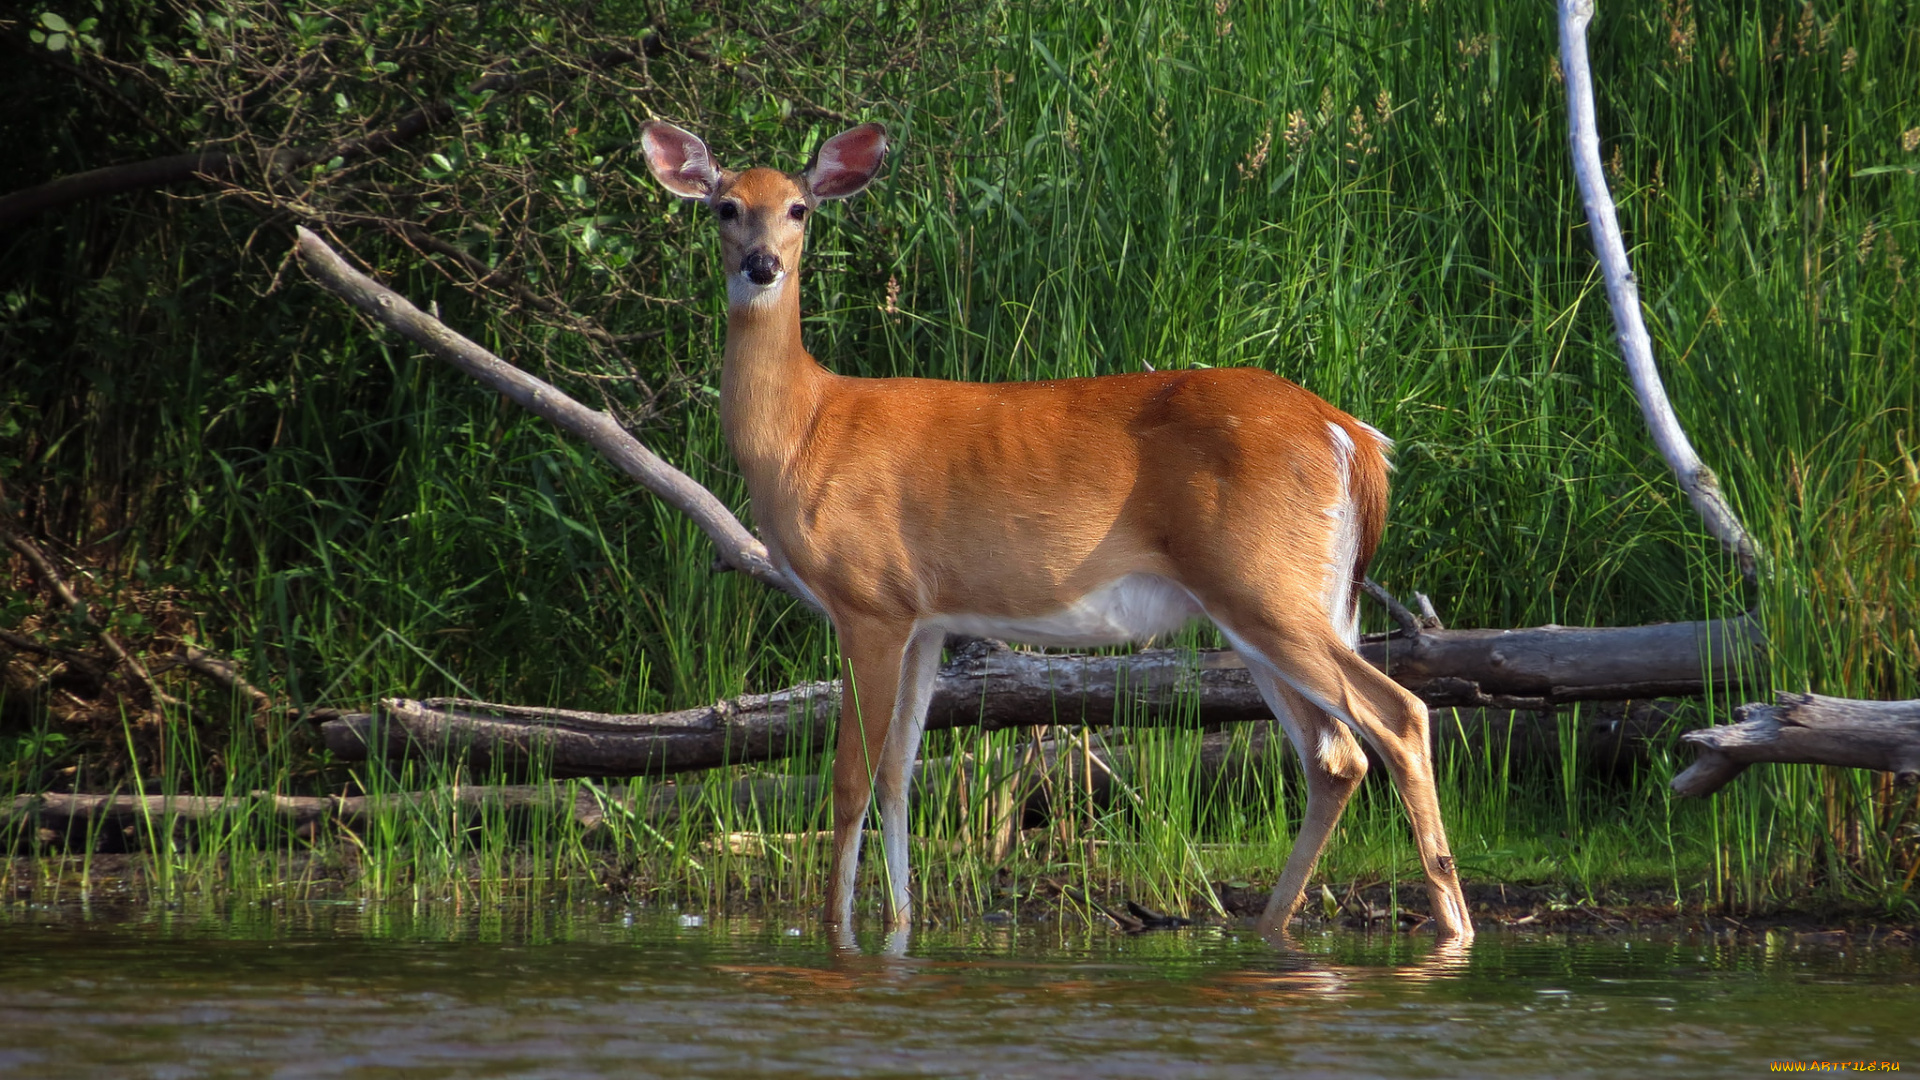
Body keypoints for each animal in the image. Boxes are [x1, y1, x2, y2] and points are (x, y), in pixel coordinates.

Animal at [637, 119, 1474, 941]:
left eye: (800, 209)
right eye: (725, 207)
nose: (763, 265)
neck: (805, 429)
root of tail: (1354, 438)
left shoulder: (867, 598)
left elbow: (850, 780)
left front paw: (835, 932)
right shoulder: (924, 619)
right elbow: (900, 775)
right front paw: (900, 927)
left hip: (1264, 584)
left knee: (1399, 716)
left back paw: (1452, 927)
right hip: (1274, 603)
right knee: (1336, 758)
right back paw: (1274, 926)